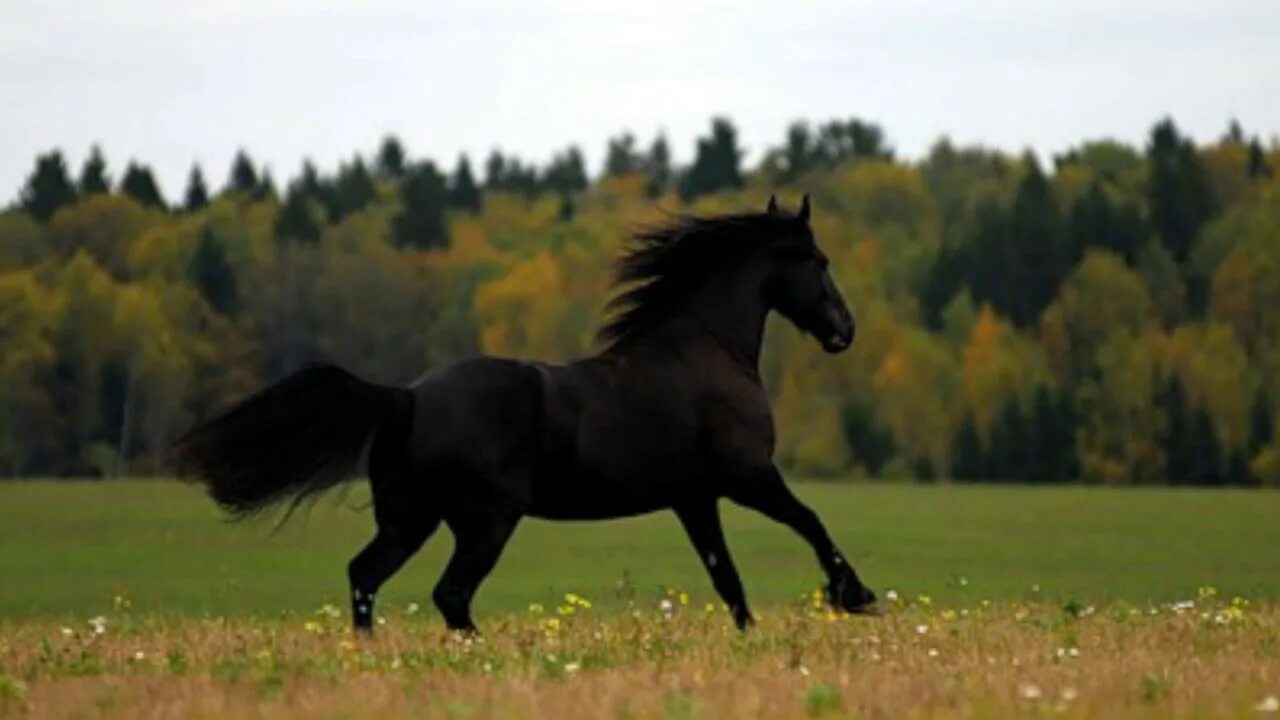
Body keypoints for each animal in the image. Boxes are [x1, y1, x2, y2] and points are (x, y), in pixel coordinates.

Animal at [170, 193, 875, 630]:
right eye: (818, 261)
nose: (845, 330)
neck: (703, 350)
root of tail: (408, 397)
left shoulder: (695, 498)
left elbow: (728, 580)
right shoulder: (747, 475)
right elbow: (810, 521)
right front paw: (856, 598)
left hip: (413, 518)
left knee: (367, 575)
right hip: (487, 519)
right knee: (448, 593)